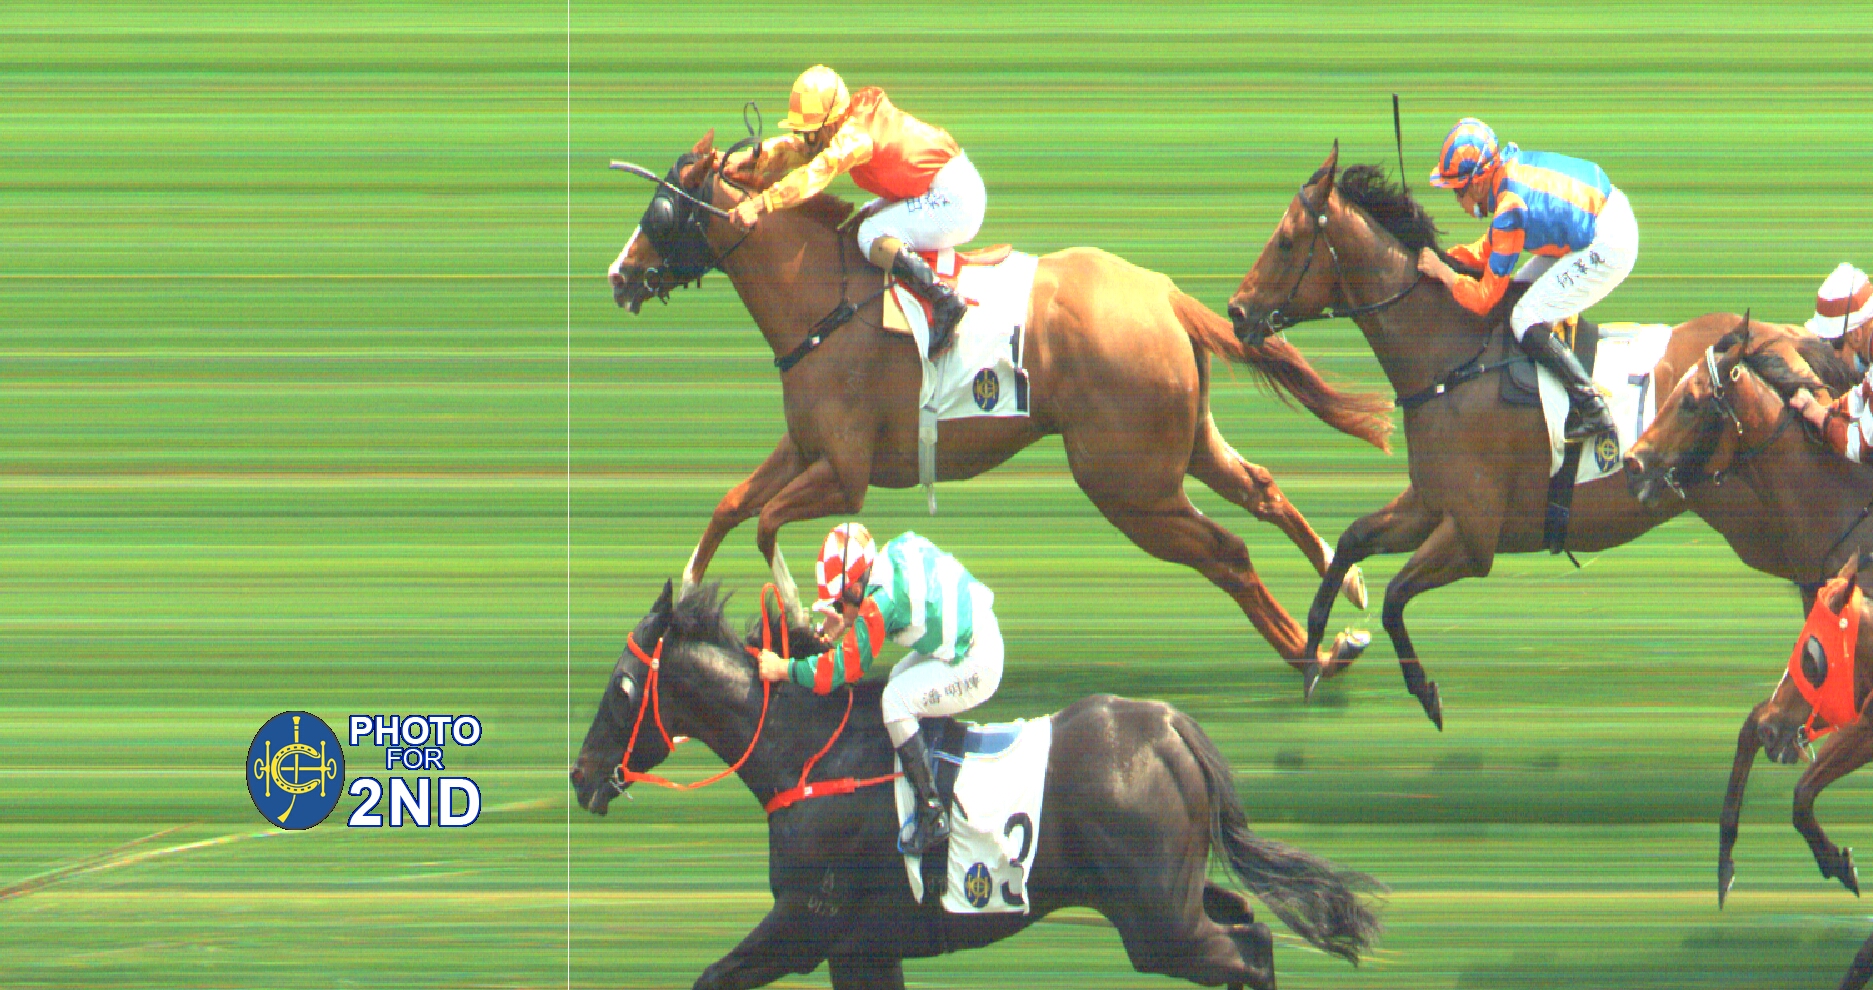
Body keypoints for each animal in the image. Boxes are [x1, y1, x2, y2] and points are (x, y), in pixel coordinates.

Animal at [570, 580, 1385, 990]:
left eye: (620, 685)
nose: (579, 776)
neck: (805, 760)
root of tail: (1169, 726)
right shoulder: (862, 947)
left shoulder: (804, 923)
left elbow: (712, 976)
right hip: (1171, 895)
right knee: (1248, 927)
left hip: (1156, 923)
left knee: (1247, 951)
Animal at [606, 129, 1396, 688]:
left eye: (661, 211)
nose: (618, 275)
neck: (820, 298)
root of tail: (1165, 294)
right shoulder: (803, 448)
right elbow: (731, 507)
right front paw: (682, 604)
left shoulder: (845, 471)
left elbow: (766, 520)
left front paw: (811, 624)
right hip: (1180, 447)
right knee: (1261, 489)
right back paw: (1347, 587)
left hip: (1128, 486)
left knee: (1227, 554)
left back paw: (1317, 656)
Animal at [1224, 144, 1859, 727]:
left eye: (1286, 241)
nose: (1236, 311)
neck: (1451, 358)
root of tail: (1792, 338)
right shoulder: (1430, 504)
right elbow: (1353, 540)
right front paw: (1314, 653)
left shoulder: (1473, 537)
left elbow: (1394, 596)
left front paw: (1424, 693)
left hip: (1755, 519)